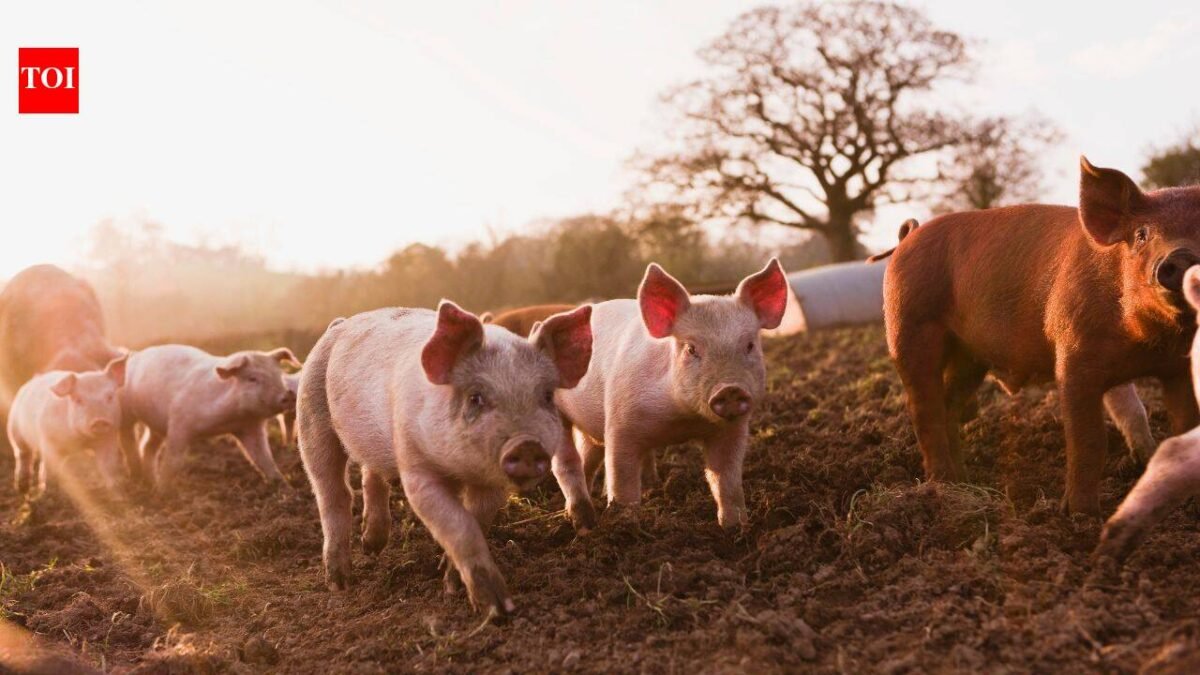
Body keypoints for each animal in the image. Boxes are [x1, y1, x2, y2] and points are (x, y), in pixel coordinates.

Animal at [8, 355, 128, 494]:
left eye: (110, 396)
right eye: (78, 400)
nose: (99, 421)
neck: (80, 440)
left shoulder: (109, 438)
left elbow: (108, 464)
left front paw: (116, 487)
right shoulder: (49, 441)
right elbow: (50, 467)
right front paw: (48, 492)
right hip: (15, 431)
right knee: (23, 455)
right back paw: (22, 487)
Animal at [118, 345, 301, 490]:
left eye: (279, 375)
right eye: (252, 378)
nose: (288, 395)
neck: (229, 419)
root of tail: (135, 355)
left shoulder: (250, 428)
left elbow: (264, 460)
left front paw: (288, 490)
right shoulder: (179, 423)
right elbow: (174, 461)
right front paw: (164, 493)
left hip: (157, 426)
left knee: (147, 447)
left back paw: (151, 481)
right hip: (125, 411)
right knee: (128, 438)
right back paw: (139, 477)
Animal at [297, 301, 594, 614]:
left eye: (547, 396)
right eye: (475, 397)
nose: (527, 444)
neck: (460, 470)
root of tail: (339, 324)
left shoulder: (491, 484)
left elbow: (476, 521)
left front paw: (451, 583)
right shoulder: (416, 468)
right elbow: (459, 525)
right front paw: (497, 608)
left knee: (371, 475)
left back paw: (372, 547)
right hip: (311, 418)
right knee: (333, 493)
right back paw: (339, 583)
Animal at [555, 259, 788, 529]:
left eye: (750, 345)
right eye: (691, 349)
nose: (730, 389)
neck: (683, 420)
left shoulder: (732, 430)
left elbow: (726, 480)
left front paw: (735, 527)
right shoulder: (620, 423)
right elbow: (622, 480)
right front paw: (626, 523)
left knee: (589, 458)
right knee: (568, 464)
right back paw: (580, 520)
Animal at [879, 157, 1200, 515]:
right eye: (1142, 234)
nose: (1181, 257)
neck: (1145, 342)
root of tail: (909, 236)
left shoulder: (1178, 368)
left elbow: (1181, 425)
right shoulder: (1073, 358)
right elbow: (1088, 441)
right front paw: (1080, 515)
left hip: (970, 357)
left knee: (949, 404)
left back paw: (964, 481)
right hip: (909, 328)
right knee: (925, 409)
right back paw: (943, 487)